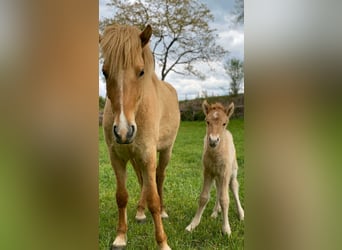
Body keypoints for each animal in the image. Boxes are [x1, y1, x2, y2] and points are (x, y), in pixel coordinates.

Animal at [99, 23, 179, 250]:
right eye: (104, 72)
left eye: (141, 71)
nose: (123, 131)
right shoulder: (117, 157)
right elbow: (122, 196)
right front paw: (120, 236)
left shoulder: (148, 155)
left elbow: (153, 198)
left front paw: (162, 242)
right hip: (135, 158)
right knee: (142, 181)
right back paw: (141, 212)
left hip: (164, 152)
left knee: (159, 178)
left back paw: (163, 211)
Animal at [186, 100, 244, 235]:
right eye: (207, 121)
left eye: (224, 123)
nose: (213, 140)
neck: (216, 155)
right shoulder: (208, 172)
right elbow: (203, 197)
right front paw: (193, 225)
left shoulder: (225, 173)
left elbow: (225, 199)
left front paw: (226, 229)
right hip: (216, 176)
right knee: (218, 189)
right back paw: (215, 212)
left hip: (232, 172)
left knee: (234, 187)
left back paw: (241, 214)